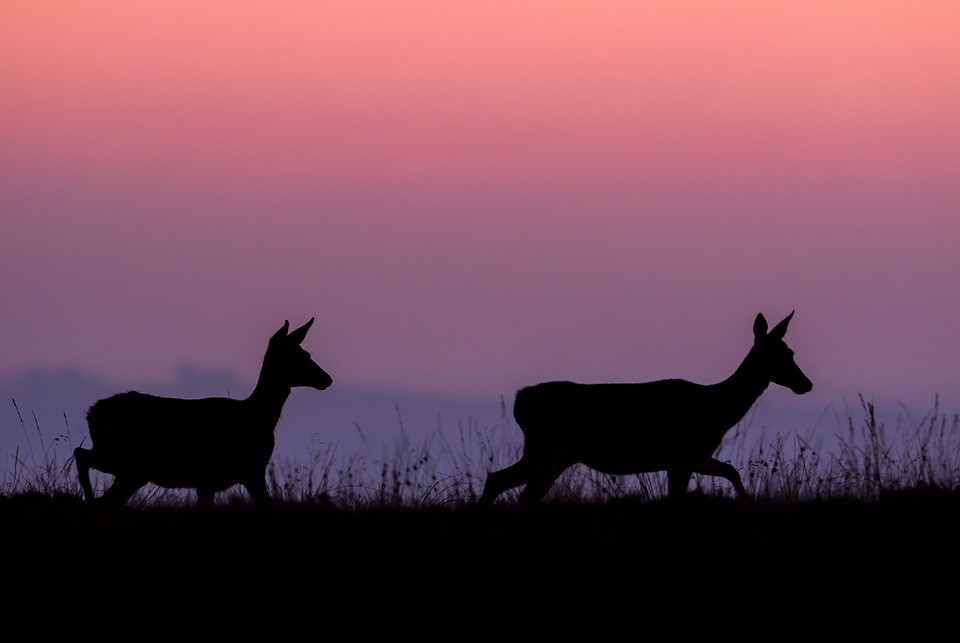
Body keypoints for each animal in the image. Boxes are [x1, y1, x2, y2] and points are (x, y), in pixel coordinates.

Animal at [74, 320, 334, 506]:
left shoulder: (212, 482)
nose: (327, 379)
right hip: (128, 462)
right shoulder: (246, 472)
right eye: (299, 355)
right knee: (82, 458)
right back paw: (87, 497)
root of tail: (93, 412)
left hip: (128, 468)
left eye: (307, 353)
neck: (256, 417)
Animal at [480, 312, 808, 508]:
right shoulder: (683, 455)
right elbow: (676, 498)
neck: (717, 410)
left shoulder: (697, 456)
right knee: (509, 485)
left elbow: (730, 471)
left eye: (791, 351)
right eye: (782, 354)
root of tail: (520, 401)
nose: (807, 383)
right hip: (548, 449)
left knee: (507, 485)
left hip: (552, 454)